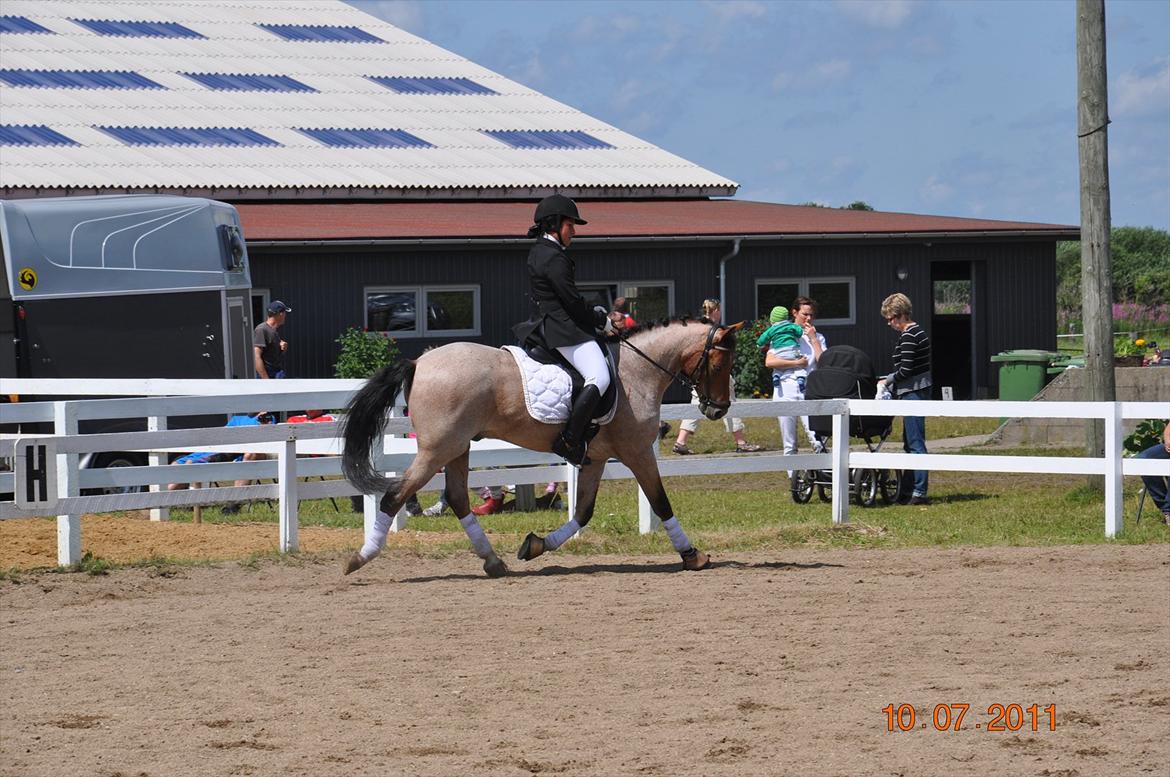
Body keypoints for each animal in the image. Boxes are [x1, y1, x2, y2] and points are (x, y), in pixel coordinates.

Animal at [341, 315, 739, 575]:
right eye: (721, 363)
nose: (718, 409)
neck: (637, 372)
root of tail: (418, 361)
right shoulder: (637, 452)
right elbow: (660, 502)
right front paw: (691, 555)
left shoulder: (595, 458)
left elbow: (583, 513)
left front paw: (535, 546)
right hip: (437, 449)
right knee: (395, 495)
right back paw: (360, 558)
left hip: (457, 447)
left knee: (456, 498)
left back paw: (493, 561)